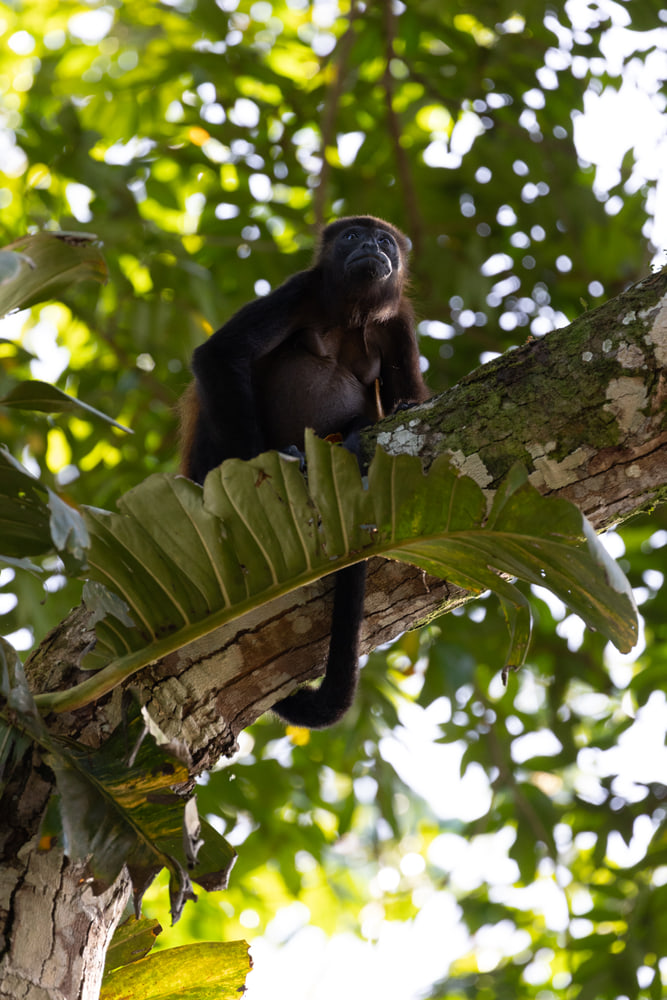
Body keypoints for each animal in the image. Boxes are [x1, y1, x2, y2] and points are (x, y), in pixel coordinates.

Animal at [180, 216, 430, 727]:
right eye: (353, 236)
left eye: (385, 241)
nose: (372, 245)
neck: (353, 313)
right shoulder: (301, 290)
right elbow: (219, 356)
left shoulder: (398, 322)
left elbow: (408, 399)